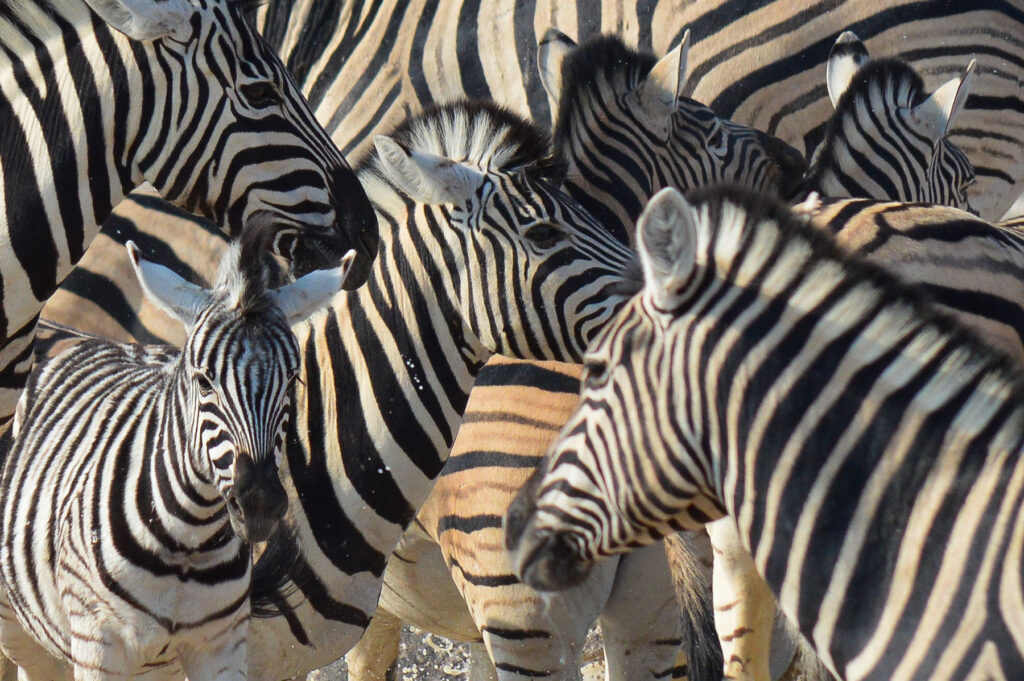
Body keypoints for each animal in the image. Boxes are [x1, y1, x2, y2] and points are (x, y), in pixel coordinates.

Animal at [0, 222, 352, 681]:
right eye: (204, 381)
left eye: (292, 380)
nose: (259, 504)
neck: (188, 542)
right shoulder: (98, 644)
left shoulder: (220, 645)